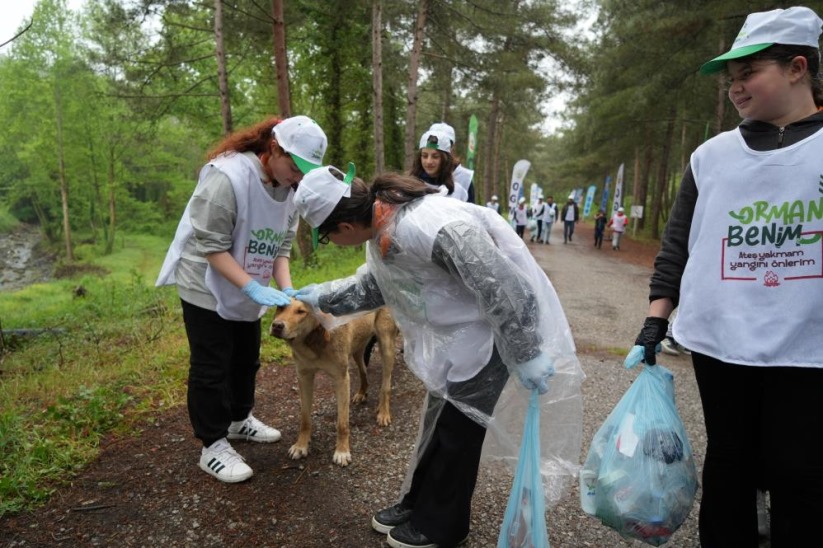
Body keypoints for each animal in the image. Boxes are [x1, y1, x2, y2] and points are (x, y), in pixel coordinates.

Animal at [270, 300, 400, 466]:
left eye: (301, 311)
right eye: (280, 307)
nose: (276, 325)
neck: (313, 341)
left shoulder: (341, 379)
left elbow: (342, 424)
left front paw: (342, 451)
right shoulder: (304, 377)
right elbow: (304, 419)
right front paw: (301, 445)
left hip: (386, 345)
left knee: (386, 385)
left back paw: (383, 412)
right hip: (358, 348)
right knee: (363, 371)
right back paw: (362, 393)